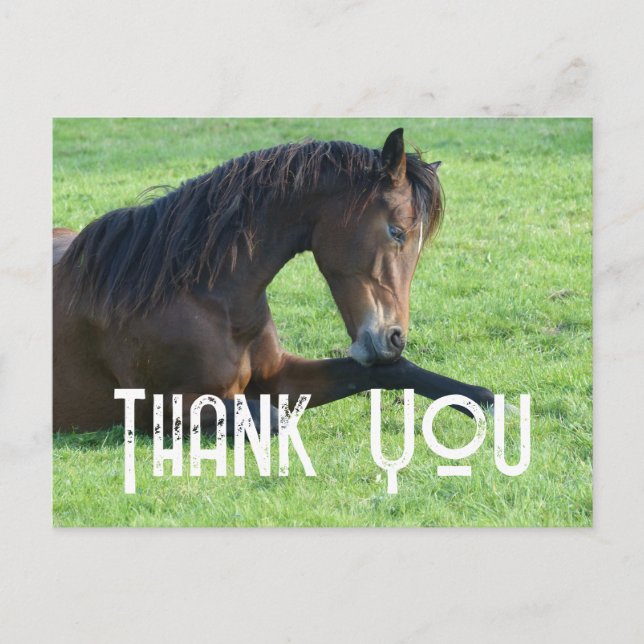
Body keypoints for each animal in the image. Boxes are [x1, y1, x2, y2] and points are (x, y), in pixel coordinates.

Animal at [53, 128, 494, 434]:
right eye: (397, 231)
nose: (395, 337)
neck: (205, 297)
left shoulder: (279, 375)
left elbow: (392, 371)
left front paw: (489, 404)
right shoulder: (173, 407)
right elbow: (271, 420)